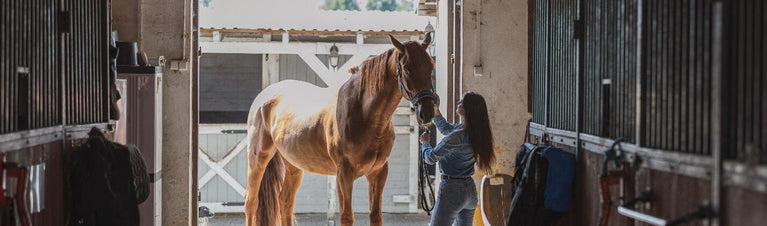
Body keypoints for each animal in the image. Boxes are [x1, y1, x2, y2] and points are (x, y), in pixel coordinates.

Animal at [246, 34, 438, 226]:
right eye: (406, 70)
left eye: (431, 67)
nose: (427, 113)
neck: (364, 114)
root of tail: (264, 97)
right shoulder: (344, 174)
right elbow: (347, 217)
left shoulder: (378, 172)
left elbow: (376, 215)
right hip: (258, 158)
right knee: (251, 202)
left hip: (294, 165)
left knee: (285, 201)